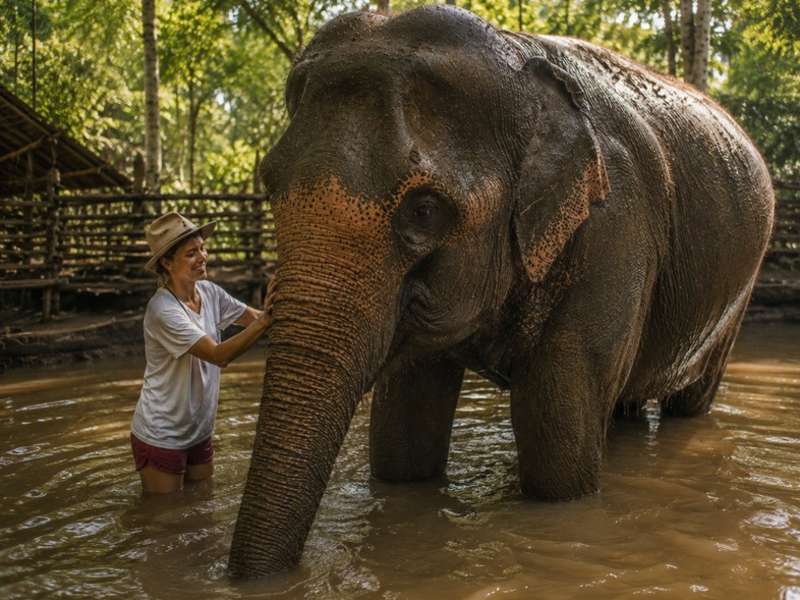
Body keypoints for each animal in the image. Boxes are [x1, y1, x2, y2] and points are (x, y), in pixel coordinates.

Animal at [228, 5, 774, 578]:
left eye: (424, 210)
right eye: (269, 184)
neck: (516, 55)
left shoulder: (617, 226)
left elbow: (556, 455)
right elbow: (403, 438)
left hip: (737, 295)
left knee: (688, 401)